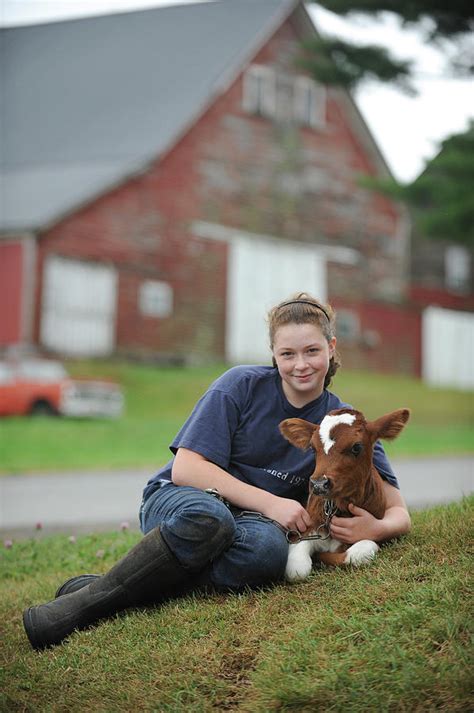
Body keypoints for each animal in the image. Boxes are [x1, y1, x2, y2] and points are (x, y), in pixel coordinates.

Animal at [280, 406, 410, 580]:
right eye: (313, 448)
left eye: (356, 447)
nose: (319, 484)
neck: (339, 509)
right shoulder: (304, 533)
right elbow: (297, 569)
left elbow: (360, 551)